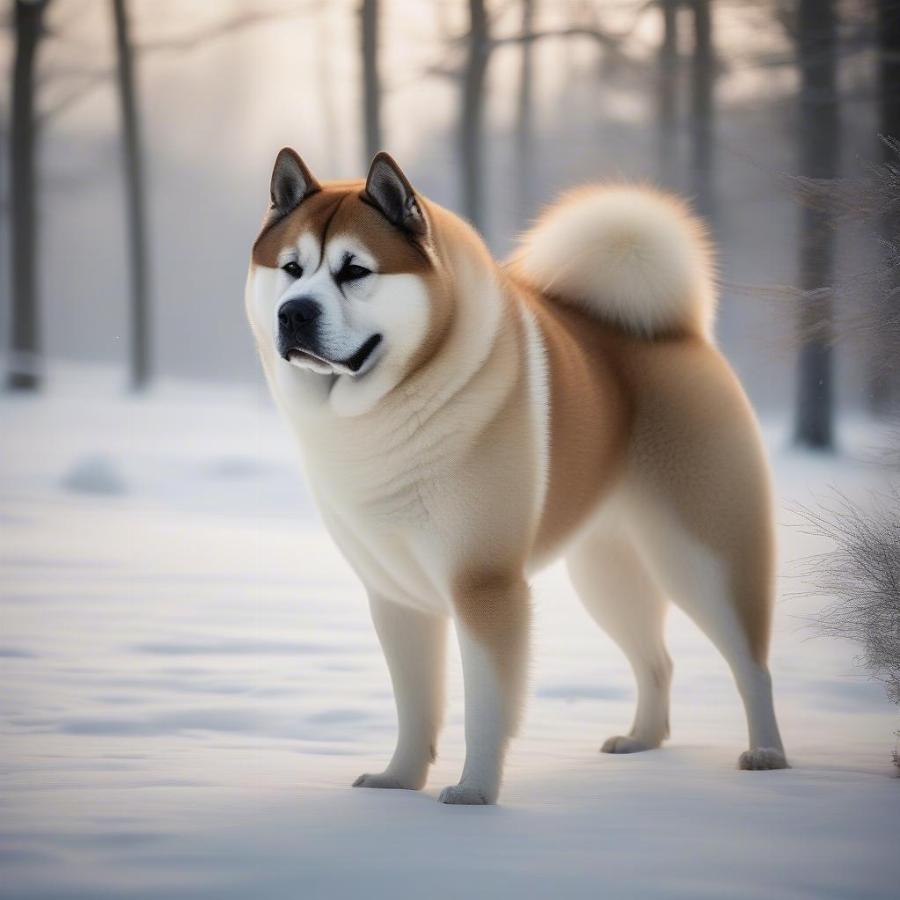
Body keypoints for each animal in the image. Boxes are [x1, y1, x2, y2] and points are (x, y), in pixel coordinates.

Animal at [246, 149, 788, 808]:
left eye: (355, 271)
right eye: (291, 268)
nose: (294, 312)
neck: (391, 409)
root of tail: (678, 334)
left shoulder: (483, 583)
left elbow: (485, 705)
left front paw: (473, 793)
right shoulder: (397, 595)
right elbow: (414, 705)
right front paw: (398, 781)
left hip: (704, 559)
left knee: (751, 663)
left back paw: (767, 754)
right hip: (608, 574)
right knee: (656, 661)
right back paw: (640, 739)